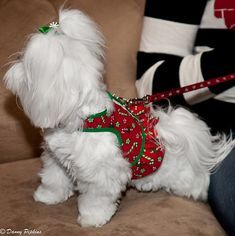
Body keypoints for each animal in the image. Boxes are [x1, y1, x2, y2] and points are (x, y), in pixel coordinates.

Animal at [4, 8, 235, 227]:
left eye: (26, 64)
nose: (11, 70)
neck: (84, 118)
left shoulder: (101, 175)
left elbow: (96, 200)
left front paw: (92, 219)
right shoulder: (56, 159)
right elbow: (54, 180)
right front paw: (47, 197)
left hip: (184, 180)